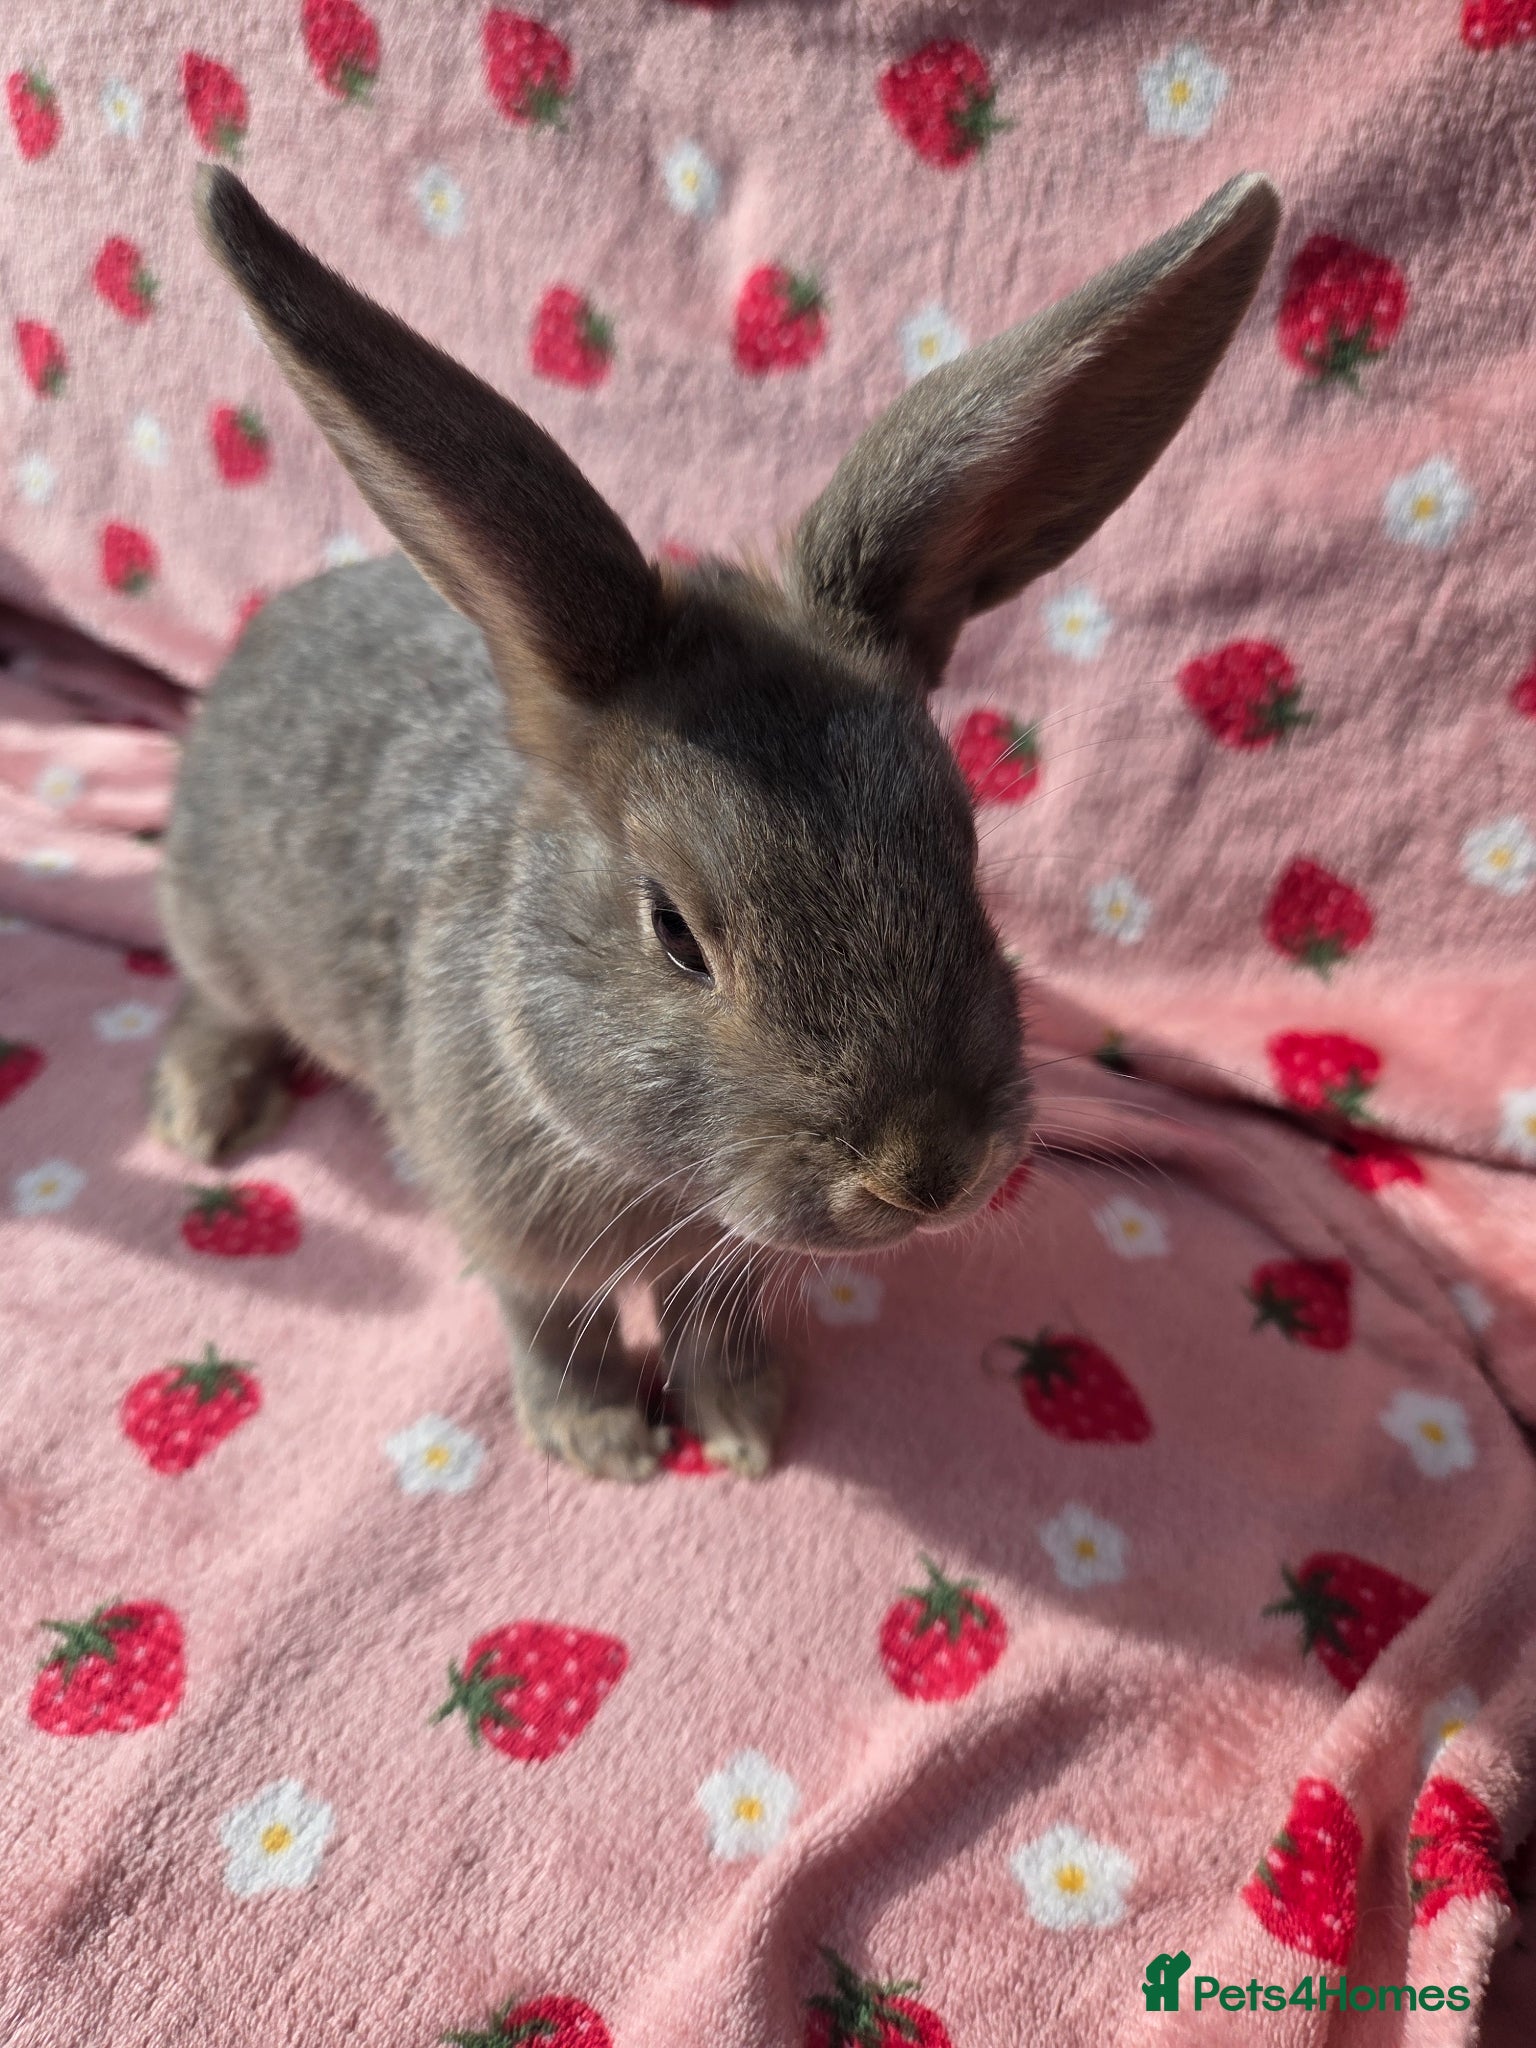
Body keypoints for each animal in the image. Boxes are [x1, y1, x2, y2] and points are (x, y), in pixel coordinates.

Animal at [152, 166, 1279, 1482]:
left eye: (963, 844)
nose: (930, 1171)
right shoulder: (516, 1239)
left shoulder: (712, 1263)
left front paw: (743, 1423)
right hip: (221, 927)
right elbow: (554, 1327)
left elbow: (711, 1320)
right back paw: (204, 1111)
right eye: (676, 931)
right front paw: (603, 1443)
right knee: (212, 1001)